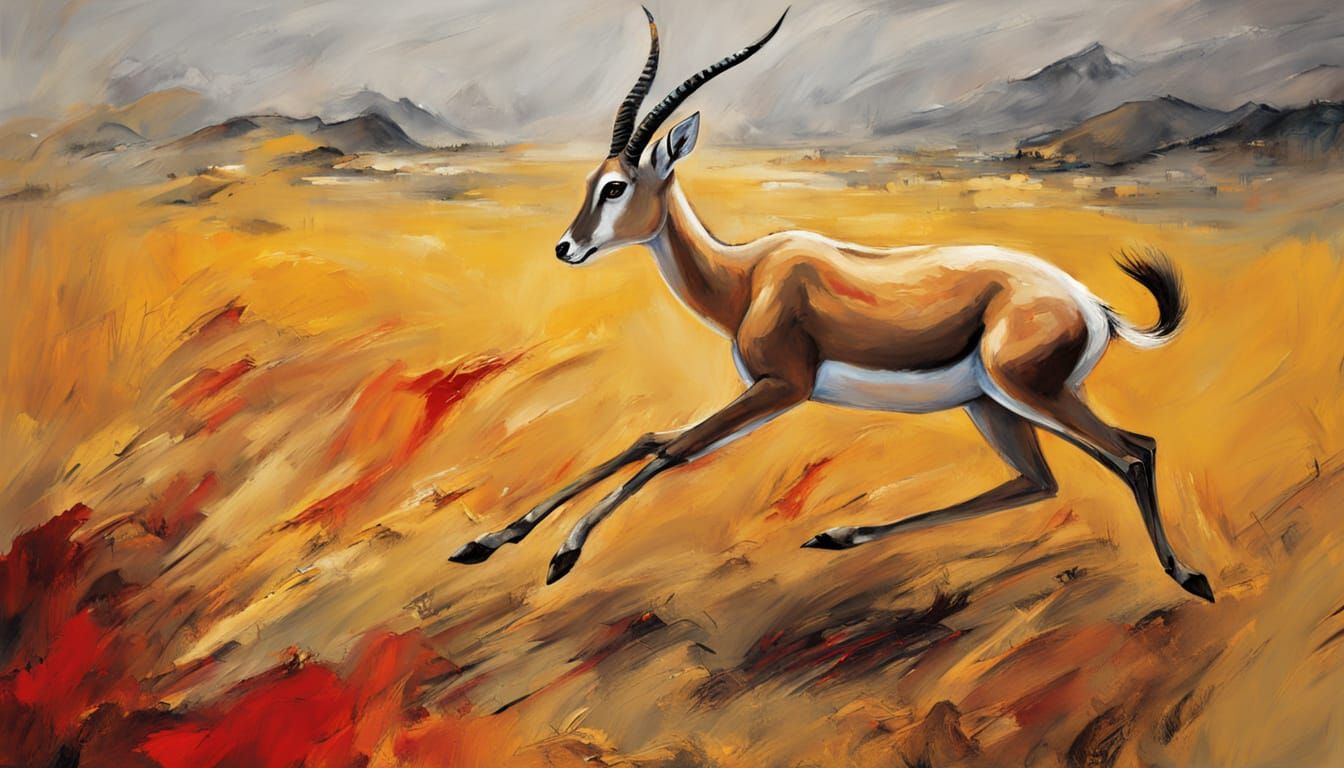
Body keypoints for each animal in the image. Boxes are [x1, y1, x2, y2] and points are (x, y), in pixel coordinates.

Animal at [450, 7, 1214, 602]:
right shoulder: (762, 389)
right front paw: (487, 542)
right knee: (1043, 480)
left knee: (1132, 454)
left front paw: (563, 554)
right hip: (993, 405)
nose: (566, 248)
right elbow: (650, 438)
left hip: (1027, 394)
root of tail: (1091, 304)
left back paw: (1191, 578)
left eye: (616, 187)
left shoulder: (782, 387)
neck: (749, 275)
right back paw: (838, 535)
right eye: (592, 180)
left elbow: (672, 451)